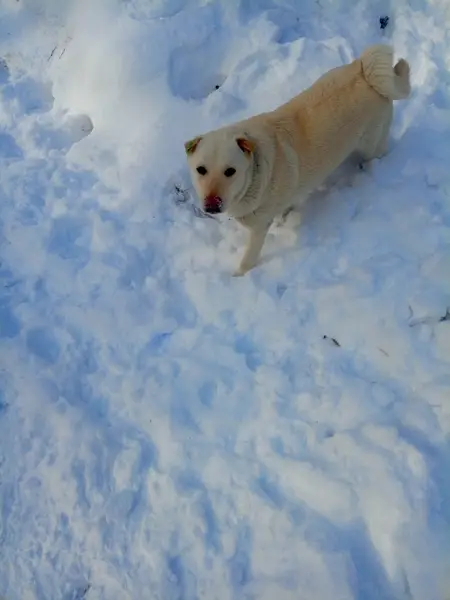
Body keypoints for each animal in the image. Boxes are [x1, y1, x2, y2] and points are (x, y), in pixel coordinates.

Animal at [184, 44, 411, 276]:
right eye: (201, 169)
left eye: (230, 171)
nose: (211, 205)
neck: (255, 172)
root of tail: (365, 72)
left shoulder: (259, 228)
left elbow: (248, 259)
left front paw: (237, 276)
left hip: (371, 145)